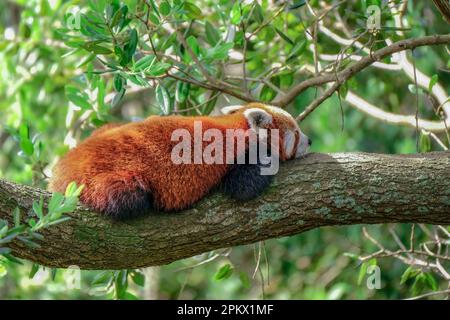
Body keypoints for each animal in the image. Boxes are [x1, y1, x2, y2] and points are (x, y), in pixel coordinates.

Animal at [48, 104, 310, 219]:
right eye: (296, 133)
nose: (310, 140)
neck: (239, 125)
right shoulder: (238, 153)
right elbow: (243, 187)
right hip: (108, 178)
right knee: (127, 199)